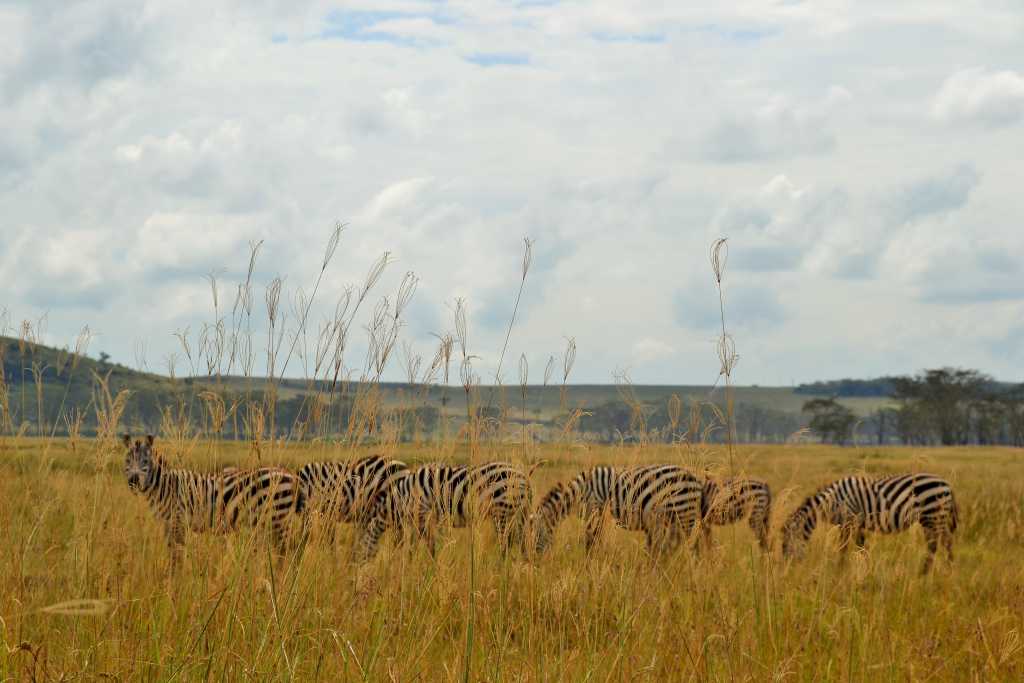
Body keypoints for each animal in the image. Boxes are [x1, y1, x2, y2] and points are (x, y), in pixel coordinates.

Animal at [120, 436, 303, 565]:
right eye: (127, 461)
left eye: (145, 462)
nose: (133, 481)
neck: (165, 486)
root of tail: (291, 475)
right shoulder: (169, 525)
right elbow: (174, 555)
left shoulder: (177, 522)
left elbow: (176, 557)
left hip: (277, 520)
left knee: (286, 552)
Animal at [352, 462, 532, 565]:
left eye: (359, 548)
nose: (354, 567)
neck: (402, 497)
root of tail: (524, 476)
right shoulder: (421, 519)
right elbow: (413, 544)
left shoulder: (423, 514)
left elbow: (427, 544)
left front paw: (428, 566)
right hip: (515, 513)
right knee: (520, 541)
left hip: (503, 511)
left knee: (506, 543)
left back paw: (501, 568)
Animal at [528, 464, 704, 557]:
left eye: (536, 536)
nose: (534, 560)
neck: (578, 493)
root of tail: (697, 480)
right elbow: (593, 537)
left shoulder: (595, 507)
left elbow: (592, 538)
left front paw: (592, 559)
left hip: (684, 514)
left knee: (683, 545)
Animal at [778, 473, 954, 573]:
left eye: (785, 545)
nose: (787, 570)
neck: (832, 502)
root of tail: (946, 484)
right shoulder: (857, 523)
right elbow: (861, 547)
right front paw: (867, 568)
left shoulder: (848, 521)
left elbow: (843, 547)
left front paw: (839, 569)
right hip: (932, 518)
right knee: (941, 543)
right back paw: (941, 569)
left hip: (933, 516)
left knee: (940, 544)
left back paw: (934, 571)